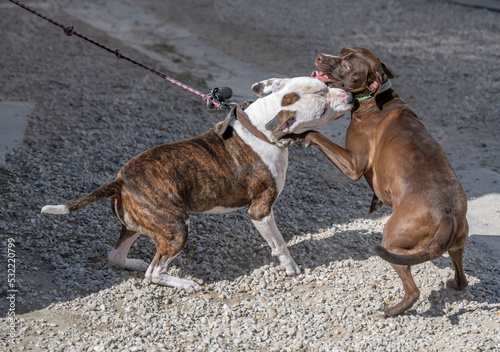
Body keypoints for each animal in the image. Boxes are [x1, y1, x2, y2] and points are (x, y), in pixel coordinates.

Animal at [42, 76, 352, 292]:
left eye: (324, 85)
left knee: (116, 255)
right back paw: (184, 284)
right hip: (176, 228)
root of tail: (120, 180)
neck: (260, 129)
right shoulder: (260, 211)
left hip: (138, 224)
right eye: (323, 109)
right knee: (153, 273)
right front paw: (290, 267)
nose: (349, 95)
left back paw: (134, 263)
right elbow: (279, 243)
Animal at [286, 47, 468, 316]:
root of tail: (447, 214)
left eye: (348, 66)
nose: (320, 57)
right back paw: (453, 284)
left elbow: (317, 135)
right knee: (461, 278)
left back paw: (391, 311)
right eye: (342, 51)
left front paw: (297, 134)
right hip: (457, 245)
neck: (374, 100)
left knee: (413, 290)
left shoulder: (353, 164)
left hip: (391, 240)